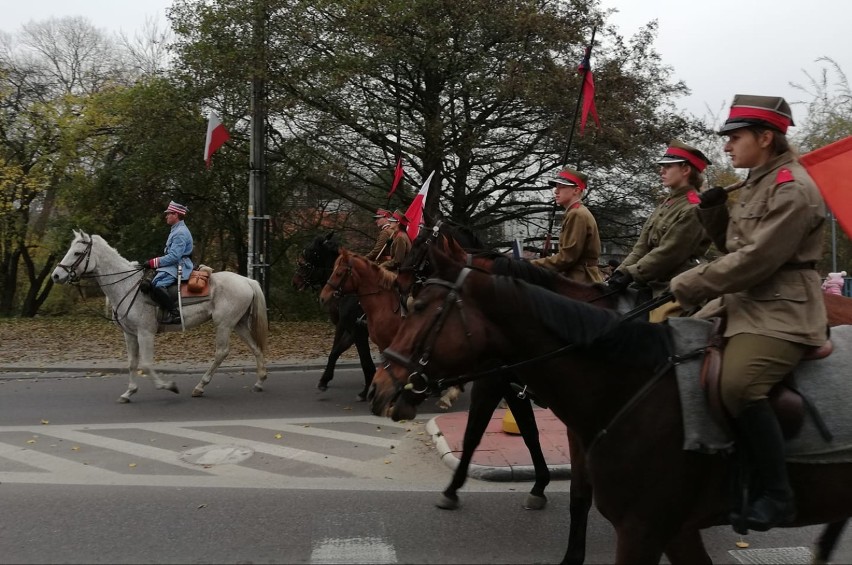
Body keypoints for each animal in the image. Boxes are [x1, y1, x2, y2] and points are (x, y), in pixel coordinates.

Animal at [53, 229, 266, 400]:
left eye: (77, 252)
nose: (56, 275)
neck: (128, 287)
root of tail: (248, 281)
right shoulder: (129, 334)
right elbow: (132, 363)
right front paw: (129, 392)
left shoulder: (145, 333)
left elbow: (146, 365)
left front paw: (168, 386)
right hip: (238, 324)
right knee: (255, 347)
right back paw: (259, 381)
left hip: (224, 325)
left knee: (221, 352)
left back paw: (200, 386)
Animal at [292, 234, 374, 400]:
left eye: (309, 255)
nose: (295, 282)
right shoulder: (348, 329)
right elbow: (335, 350)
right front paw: (325, 379)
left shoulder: (353, 330)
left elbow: (355, 356)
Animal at [372, 246, 852, 564]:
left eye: (418, 302)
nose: (380, 387)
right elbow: (559, 472)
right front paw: (541, 496)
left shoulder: (499, 384)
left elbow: (480, 436)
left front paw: (457, 490)